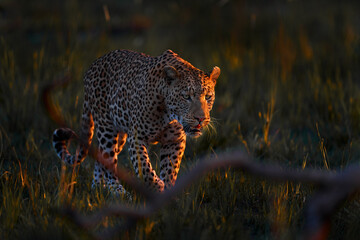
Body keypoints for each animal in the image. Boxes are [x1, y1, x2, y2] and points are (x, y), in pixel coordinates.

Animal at [51, 49, 218, 194]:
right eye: (186, 97)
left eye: (208, 97)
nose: (201, 118)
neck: (169, 114)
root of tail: (93, 66)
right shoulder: (137, 137)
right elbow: (144, 167)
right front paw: (157, 186)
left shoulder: (175, 140)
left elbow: (170, 169)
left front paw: (167, 193)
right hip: (107, 128)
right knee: (109, 160)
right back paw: (118, 192)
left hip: (120, 136)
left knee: (101, 157)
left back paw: (98, 187)